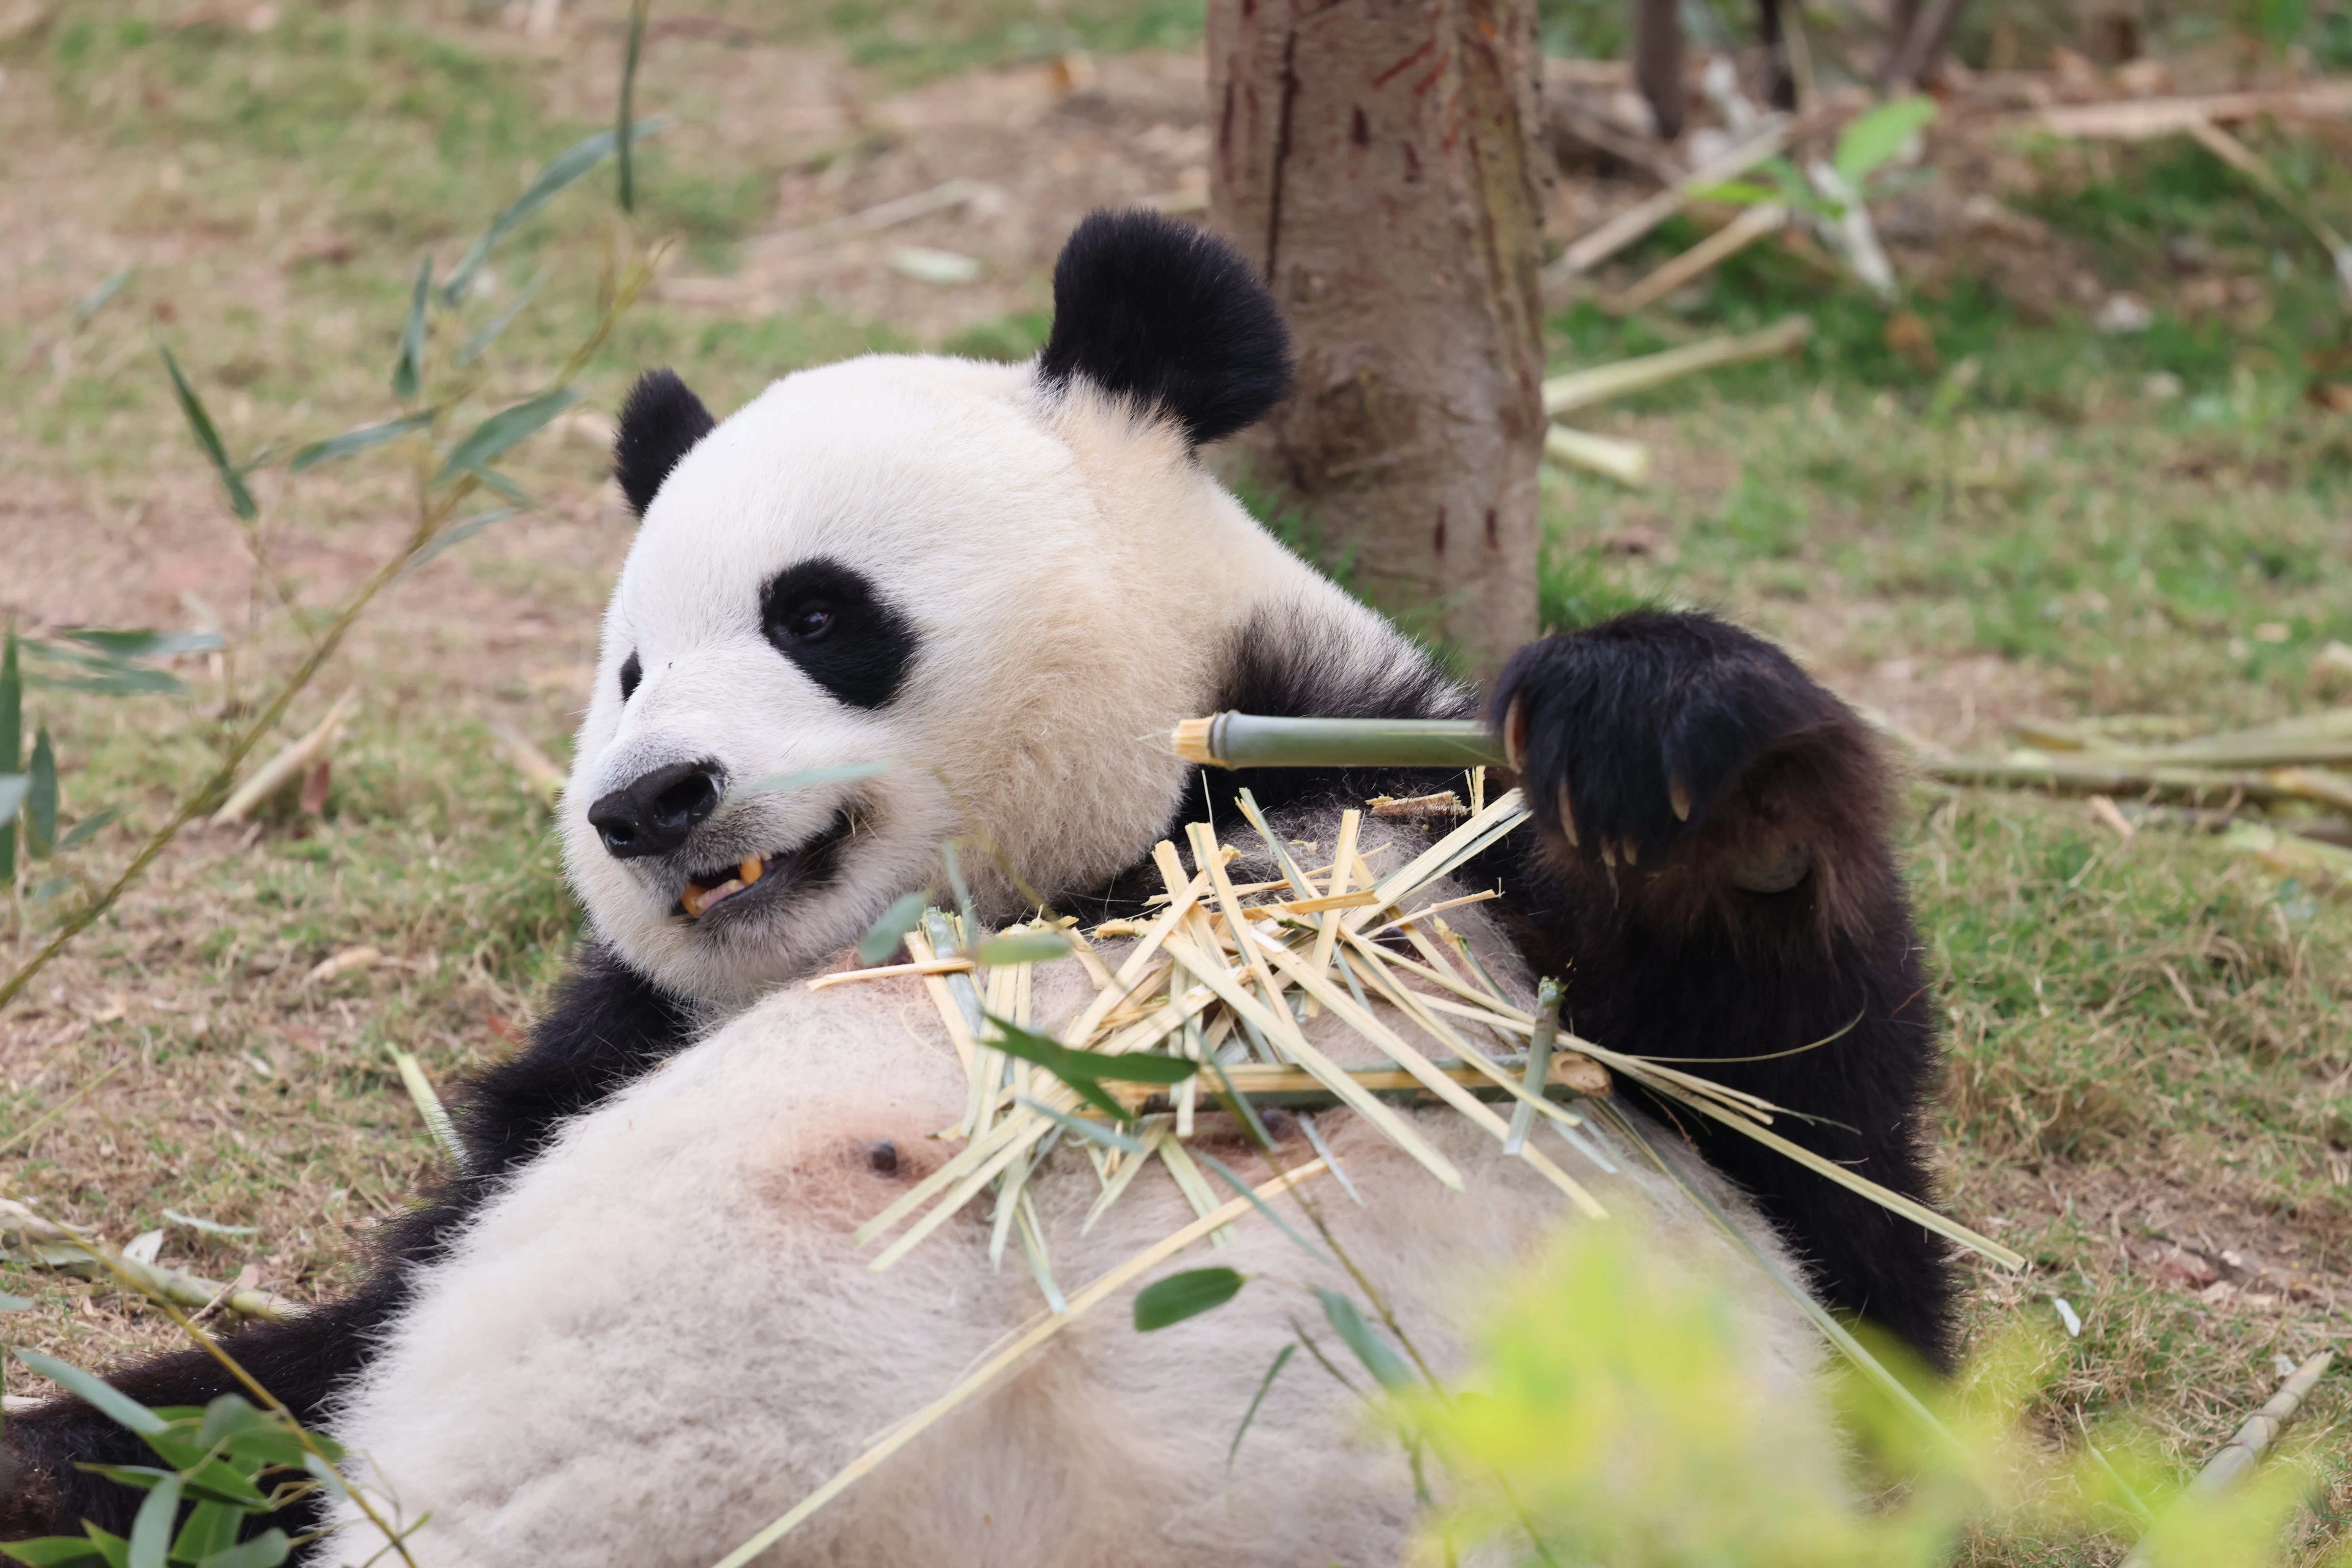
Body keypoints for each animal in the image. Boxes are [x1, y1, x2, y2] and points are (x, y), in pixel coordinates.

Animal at [1, 210, 1952, 1563]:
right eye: (628, 670)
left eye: (817, 611)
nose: (648, 804)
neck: (1071, 874)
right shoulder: (611, 1049)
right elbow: (291, 1376)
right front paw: (51, 1448)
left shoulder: (1397, 820)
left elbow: (1837, 1196)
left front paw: (1689, 768)